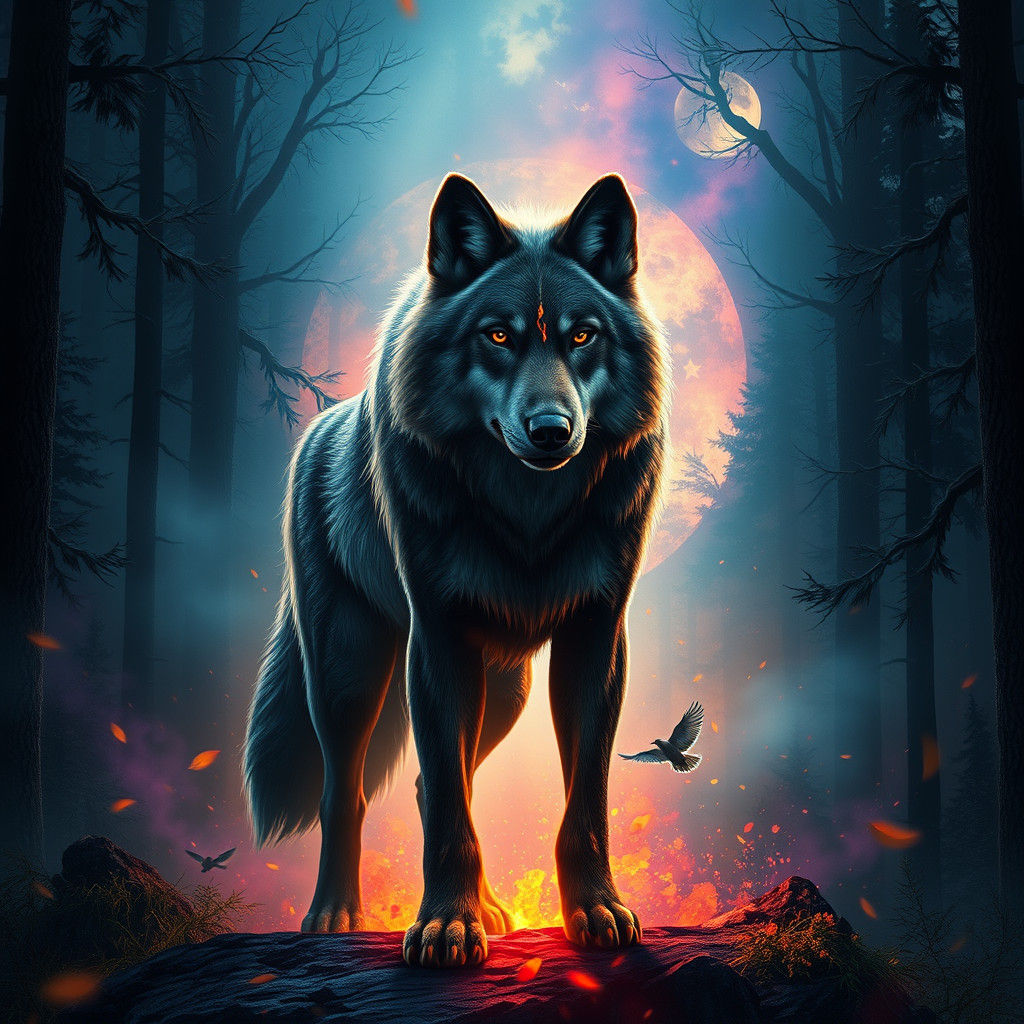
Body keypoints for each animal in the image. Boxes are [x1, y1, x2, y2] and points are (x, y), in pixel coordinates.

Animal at [244, 171, 669, 968]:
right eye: (498, 335)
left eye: (583, 335)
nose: (551, 430)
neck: (528, 515)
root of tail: (321, 427)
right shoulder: (436, 640)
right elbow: (446, 800)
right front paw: (445, 926)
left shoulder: (597, 640)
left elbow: (583, 799)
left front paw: (594, 911)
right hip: (349, 676)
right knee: (347, 792)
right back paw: (334, 915)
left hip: (504, 689)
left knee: (432, 782)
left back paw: (494, 909)